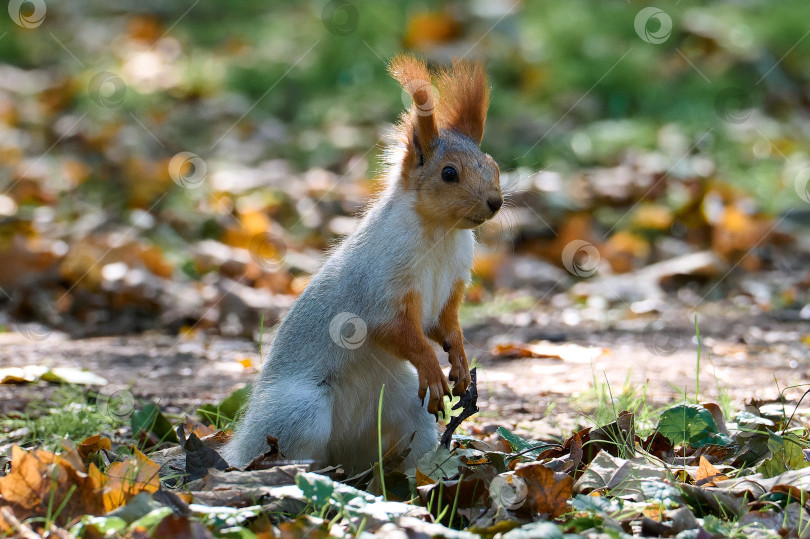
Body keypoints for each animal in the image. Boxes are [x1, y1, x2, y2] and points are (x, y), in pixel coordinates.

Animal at [221, 52, 498, 470]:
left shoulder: (451, 286)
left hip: (407, 411)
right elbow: (397, 330)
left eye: (492, 164)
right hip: (301, 411)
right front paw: (431, 365)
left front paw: (462, 361)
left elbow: (446, 324)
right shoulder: (380, 287)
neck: (442, 234)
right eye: (449, 173)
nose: (496, 202)